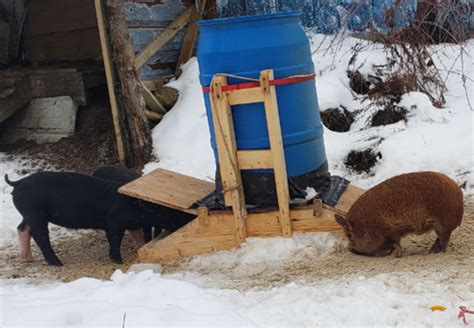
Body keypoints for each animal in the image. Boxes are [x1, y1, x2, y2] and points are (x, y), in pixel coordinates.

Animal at [336, 170, 464, 258]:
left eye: (350, 235)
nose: (350, 249)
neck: (367, 225)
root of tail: (458, 192)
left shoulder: (389, 231)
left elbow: (395, 243)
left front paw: (395, 254)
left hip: (443, 223)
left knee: (444, 239)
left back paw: (435, 253)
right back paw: (431, 250)